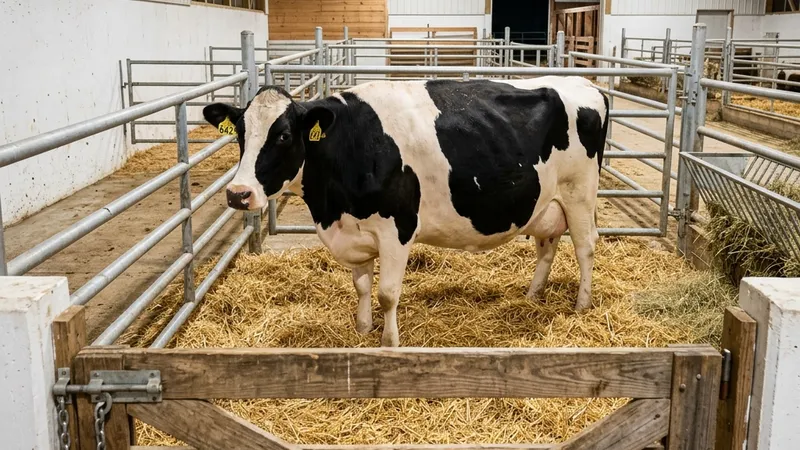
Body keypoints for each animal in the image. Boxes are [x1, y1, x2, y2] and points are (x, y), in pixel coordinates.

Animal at [202, 76, 609, 347]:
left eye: (284, 135)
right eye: (240, 133)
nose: (238, 194)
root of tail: (585, 84)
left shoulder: (396, 228)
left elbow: (387, 292)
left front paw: (390, 343)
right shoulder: (354, 231)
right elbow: (361, 285)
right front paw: (363, 328)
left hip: (580, 194)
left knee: (586, 247)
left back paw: (582, 305)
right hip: (547, 202)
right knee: (548, 246)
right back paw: (533, 296)